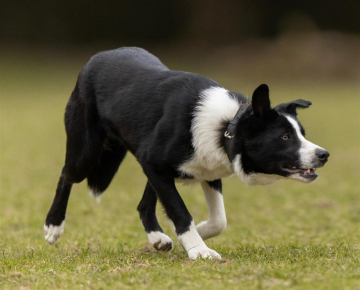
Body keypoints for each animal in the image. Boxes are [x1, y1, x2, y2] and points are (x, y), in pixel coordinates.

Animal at [44, 47, 330, 260]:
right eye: (285, 137)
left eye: (301, 133)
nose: (324, 154)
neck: (228, 126)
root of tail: (97, 57)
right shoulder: (153, 162)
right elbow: (181, 211)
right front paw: (198, 250)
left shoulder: (206, 169)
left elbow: (219, 219)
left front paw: (198, 234)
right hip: (86, 151)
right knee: (66, 175)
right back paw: (53, 226)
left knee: (144, 205)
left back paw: (158, 238)